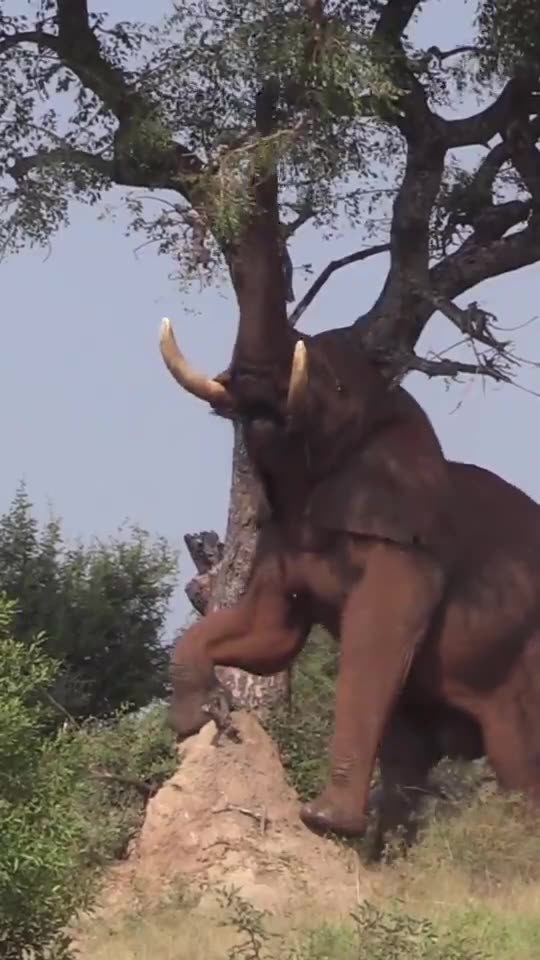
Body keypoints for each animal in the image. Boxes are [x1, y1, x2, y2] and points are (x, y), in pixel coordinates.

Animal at [159, 306, 540, 845]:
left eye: (335, 387)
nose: (250, 398)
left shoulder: (407, 548)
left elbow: (373, 640)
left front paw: (323, 822)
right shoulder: (279, 537)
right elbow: (268, 635)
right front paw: (201, 720)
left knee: (519, 768)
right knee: (409, 761)